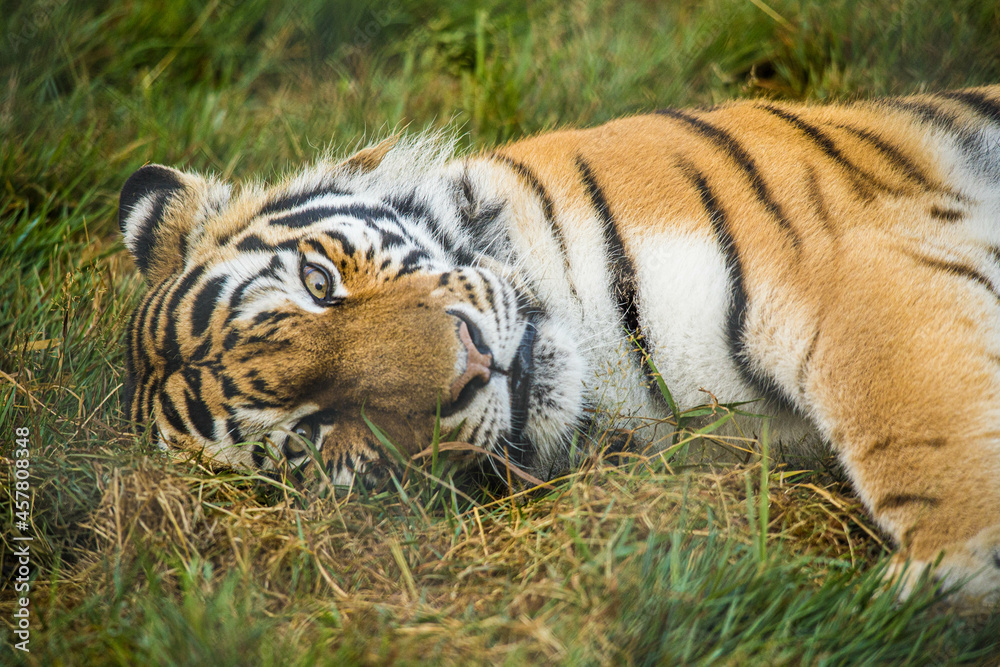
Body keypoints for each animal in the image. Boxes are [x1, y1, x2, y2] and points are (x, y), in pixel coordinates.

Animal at [119, 85, 1000, 606]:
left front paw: (946, 571)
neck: (612, 379)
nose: (471, 367)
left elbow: (914, 415)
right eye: (310, 433)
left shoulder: (846, 253)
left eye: (318, 282)